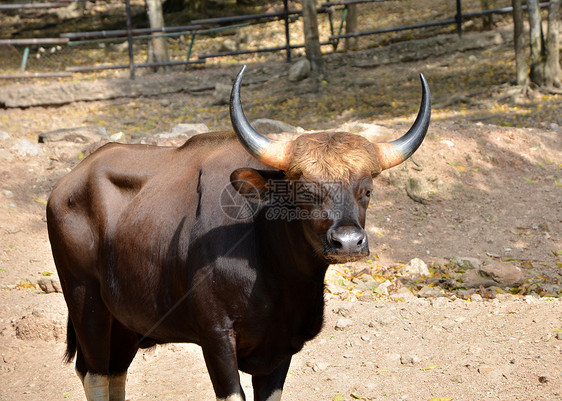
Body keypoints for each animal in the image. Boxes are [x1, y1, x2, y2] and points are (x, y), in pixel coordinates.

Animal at [47, 66, 428, 400]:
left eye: (367, 191)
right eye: (304, 191)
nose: (347, 242)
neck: (275, 273)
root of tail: (66, 185)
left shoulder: (280, 347)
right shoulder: (216, 337)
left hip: (126, 320)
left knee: (114, 374)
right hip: (85, 302)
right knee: (94, 373)